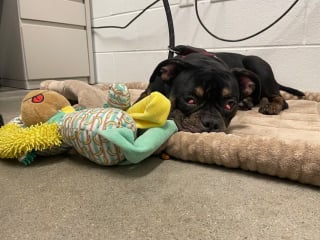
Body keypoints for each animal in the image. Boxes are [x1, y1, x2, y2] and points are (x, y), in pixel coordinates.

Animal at [138, 45, 304, 133]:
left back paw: (271, 106)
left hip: (256, 64)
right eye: (189, 100)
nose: (211, 123)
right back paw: (248, 102)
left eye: (229, 104)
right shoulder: (148, 92)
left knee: (281, 98)